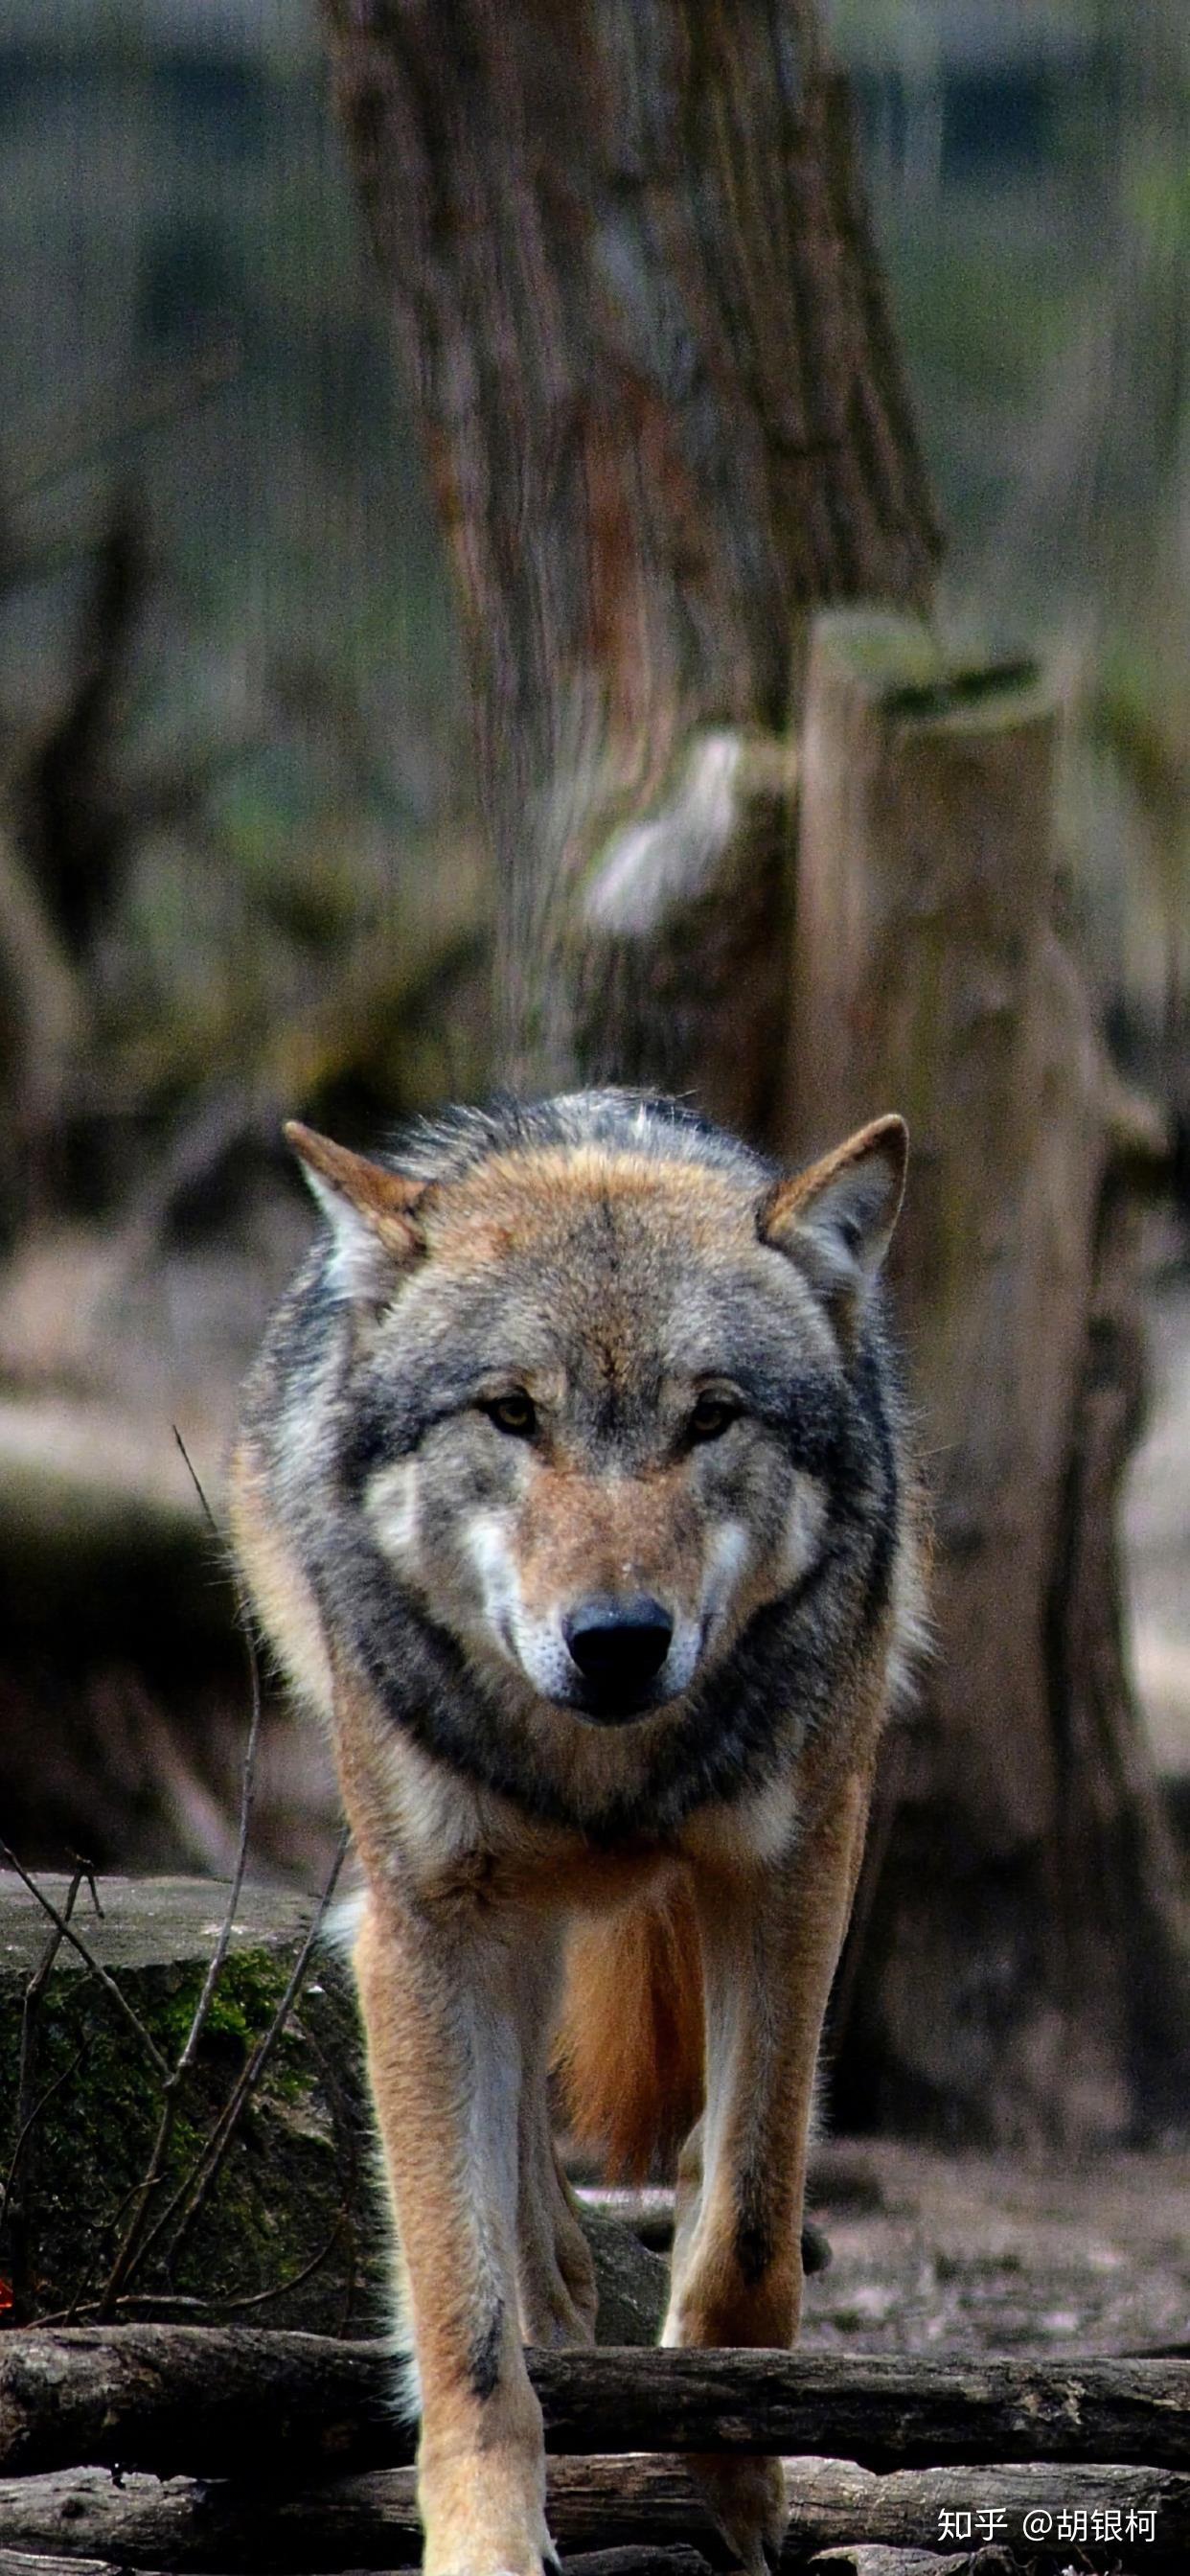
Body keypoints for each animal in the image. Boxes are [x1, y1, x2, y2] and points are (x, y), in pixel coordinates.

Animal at [230, 1087, 922, 2576]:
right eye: (511, 1413)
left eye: (711, 1418)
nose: (615, 1640)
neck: (608, 1777)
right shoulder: (421, 1931)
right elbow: (460, 2294)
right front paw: (487, 2536)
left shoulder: (790, 1873)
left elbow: (748, 2232)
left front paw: (737, 2480)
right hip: (496, 1924)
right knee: (527, 2219)